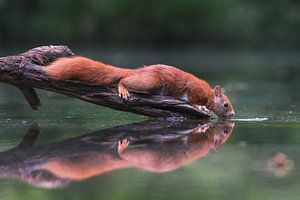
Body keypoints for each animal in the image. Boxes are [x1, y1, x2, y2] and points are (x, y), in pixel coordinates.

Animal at [44, 55, 236, 117]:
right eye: (226, 104)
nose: (233, 114)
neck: (209, 94)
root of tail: (141, 71)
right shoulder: (193, 89)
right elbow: (193, 99)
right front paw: (201, 107)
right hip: (150, 82)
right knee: (124, 80)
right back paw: (123, 88)